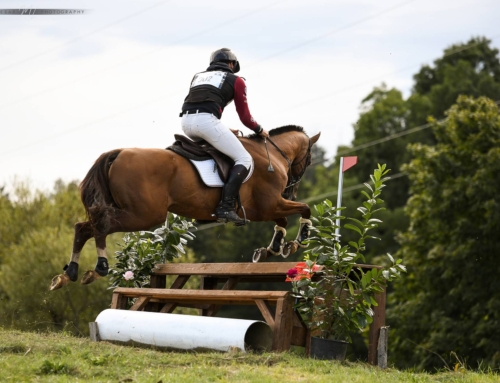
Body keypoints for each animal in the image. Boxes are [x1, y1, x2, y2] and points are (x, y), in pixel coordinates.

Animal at [49, 126, 320, 292]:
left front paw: (273, 248)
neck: (272, 154)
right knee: (100, 226)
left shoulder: (269, 207)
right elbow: (305, 209)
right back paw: (99, 269)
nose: (292, 190)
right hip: (144, 215)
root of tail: (118, 152)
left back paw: (69, 274)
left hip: (131, 211)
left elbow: (283, 222)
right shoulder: (268, 206)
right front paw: (298, 240)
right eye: (308, 160)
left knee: (84, 227)